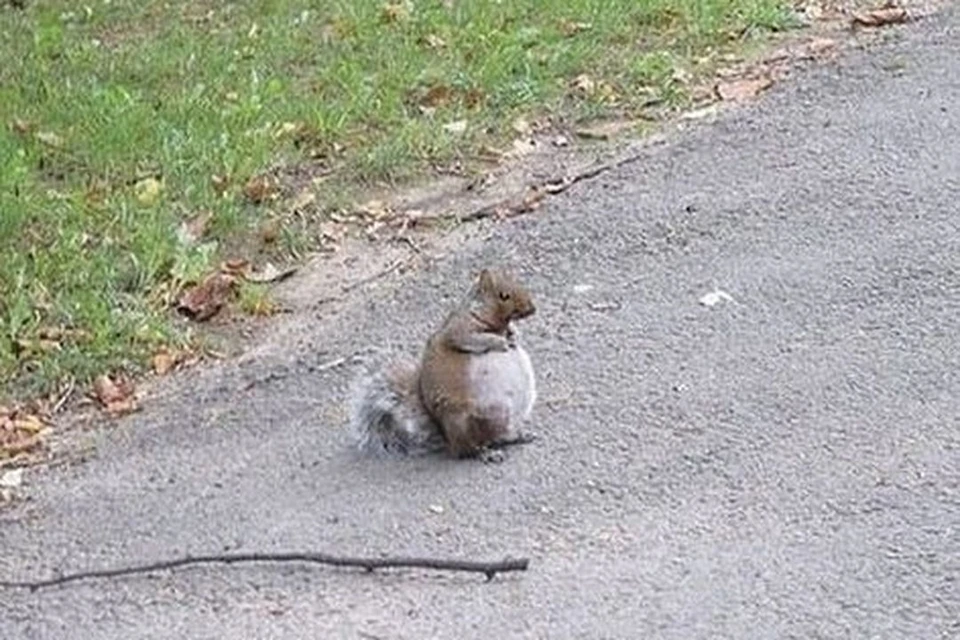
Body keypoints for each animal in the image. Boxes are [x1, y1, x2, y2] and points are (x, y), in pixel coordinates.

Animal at [348, 268, 540, 462]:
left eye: (517, 282)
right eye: (504, 296)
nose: (532, 308)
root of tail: (447, 438)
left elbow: (510, 331)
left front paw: (514, 334)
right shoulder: (459, 332)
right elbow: (479, 339)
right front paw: (501, 342)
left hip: (501, 419)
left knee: (498, 436)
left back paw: (519, 436)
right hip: (465, 423)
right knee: (470, 448)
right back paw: (488, 453)